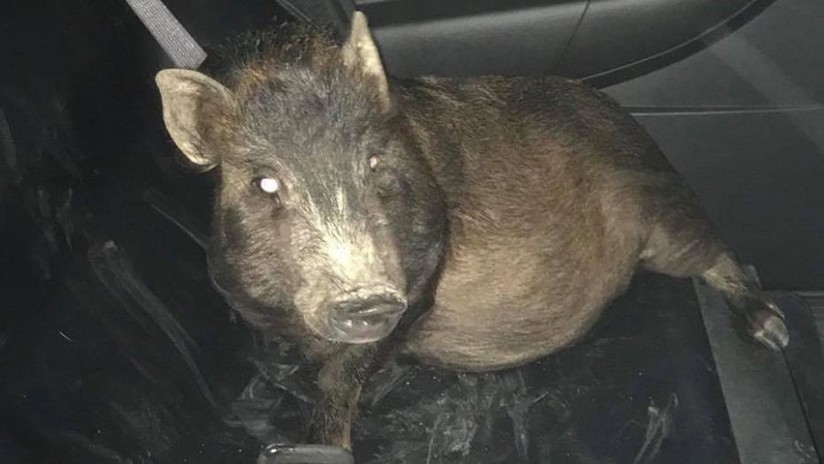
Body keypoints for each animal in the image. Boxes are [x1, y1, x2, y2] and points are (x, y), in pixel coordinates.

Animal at [154, 11, 789, 458]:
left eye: (376, 162)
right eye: (264, 182)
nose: (366, 297)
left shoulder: (421, 271)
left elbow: (343, 375)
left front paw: (325, 441)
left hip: (664, 215)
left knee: (720, 252)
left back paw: (774, 333)